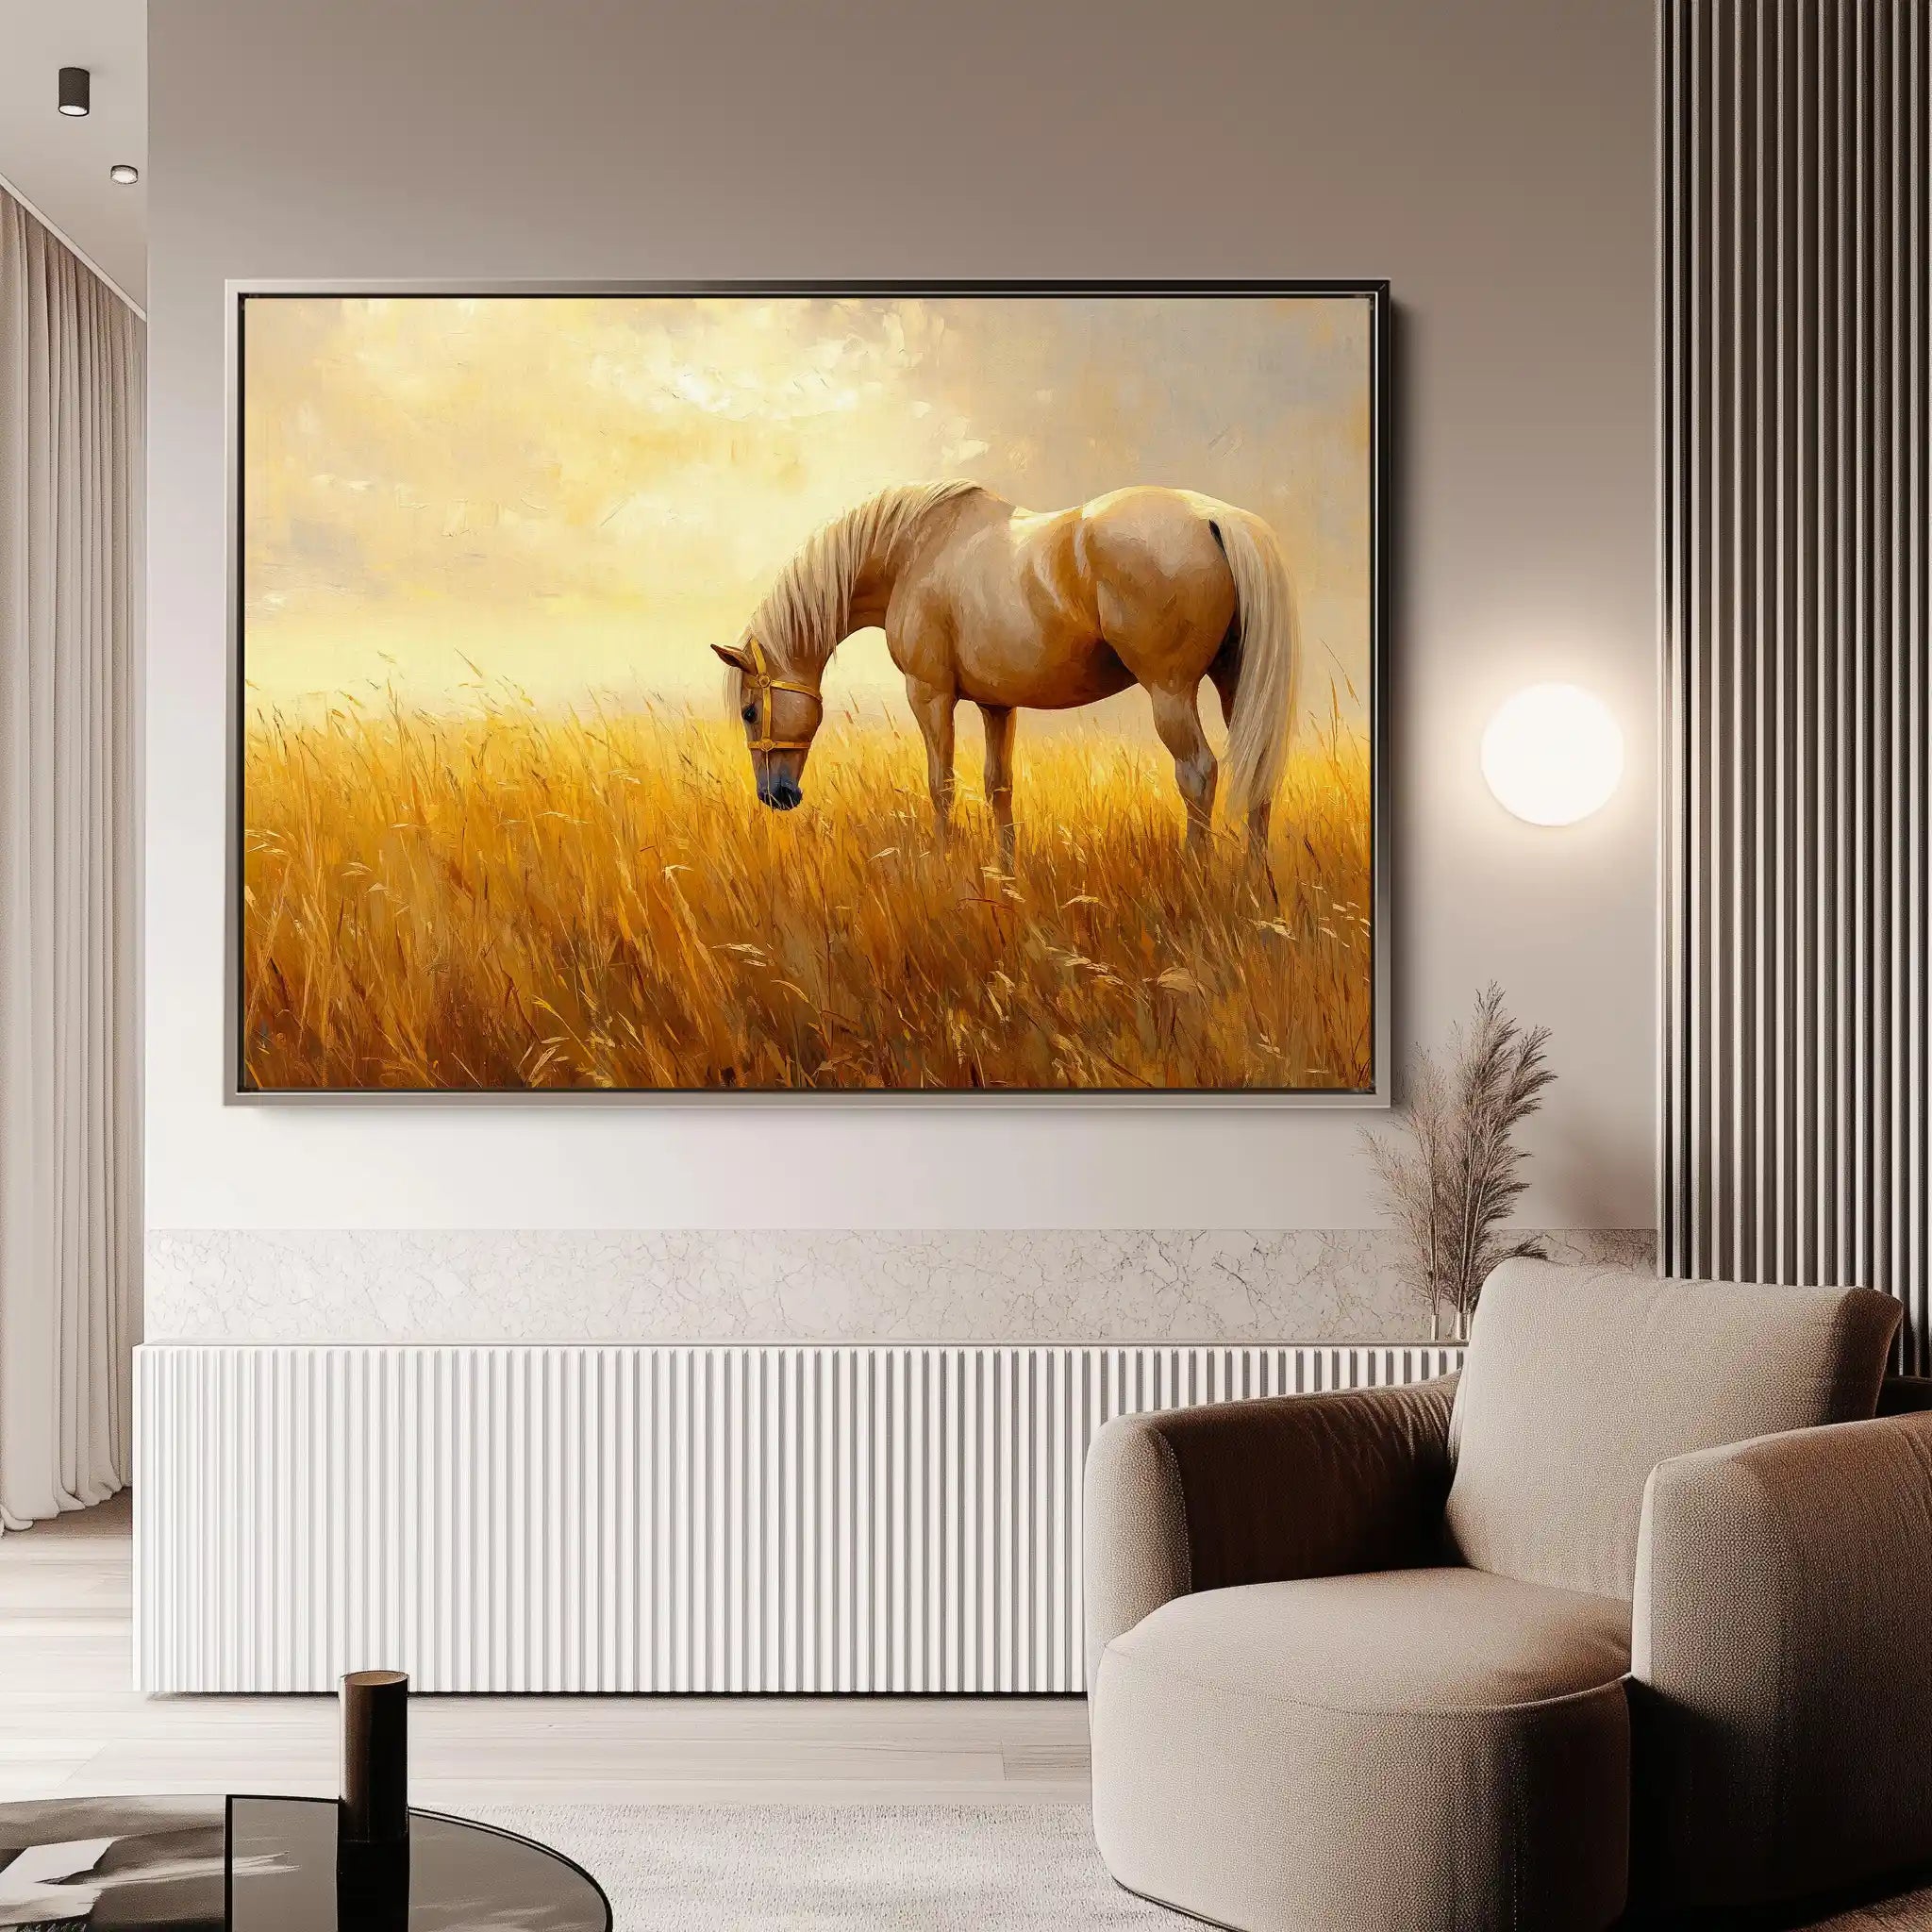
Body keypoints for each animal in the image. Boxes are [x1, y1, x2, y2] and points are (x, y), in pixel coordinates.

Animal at [712, 481, 1300, 869]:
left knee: (1197, 772)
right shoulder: (997, 704)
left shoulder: (930, 695)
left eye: (750, 710)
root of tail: (1214, 517)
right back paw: (1254, 884)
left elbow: (942, 784)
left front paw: (943, 865)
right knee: (1258, 767)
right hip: (1235, 685)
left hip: (1170, 693)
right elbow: (999, 786)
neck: (912, 553)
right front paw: (1005, 872)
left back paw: (1194, 876)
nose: (775, 795)